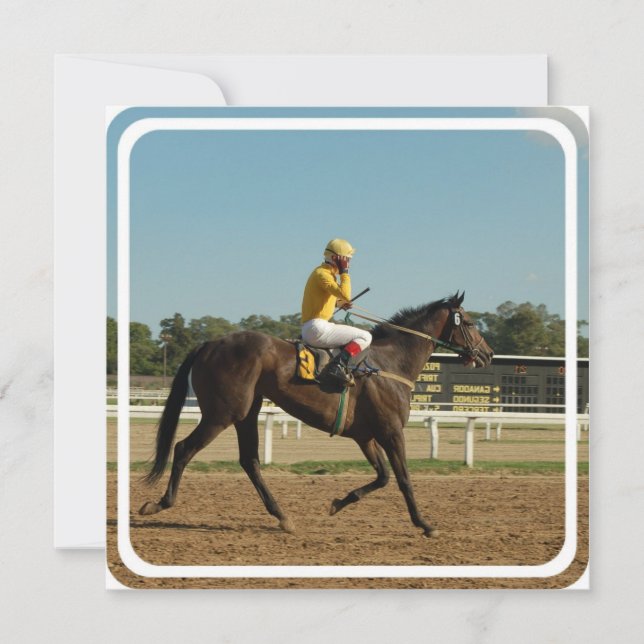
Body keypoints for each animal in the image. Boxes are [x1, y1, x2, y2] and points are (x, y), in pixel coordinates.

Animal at [139, 292, 493, 537]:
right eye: (470, 322)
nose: (488, 354)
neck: (390, 364)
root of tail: (209, 343)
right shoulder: (391, 431)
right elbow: (404, 479)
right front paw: (425, 523)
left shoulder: (365, 436)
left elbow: (382, 477)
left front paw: (338, 503)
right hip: (222, 412)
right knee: (184, 448)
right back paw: (159, 503)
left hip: (247, 411)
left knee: (249, 460)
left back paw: (282, 516)